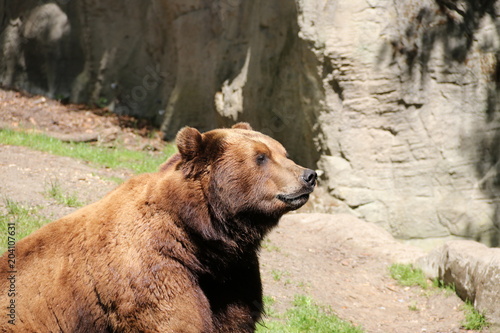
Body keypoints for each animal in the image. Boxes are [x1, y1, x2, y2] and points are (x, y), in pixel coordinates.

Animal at [0, 122, 316, 332]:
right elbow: (174, 320)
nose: (309, 175)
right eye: (261, 157)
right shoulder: (151, 270)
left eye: (283, 152)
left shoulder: (232, 277)